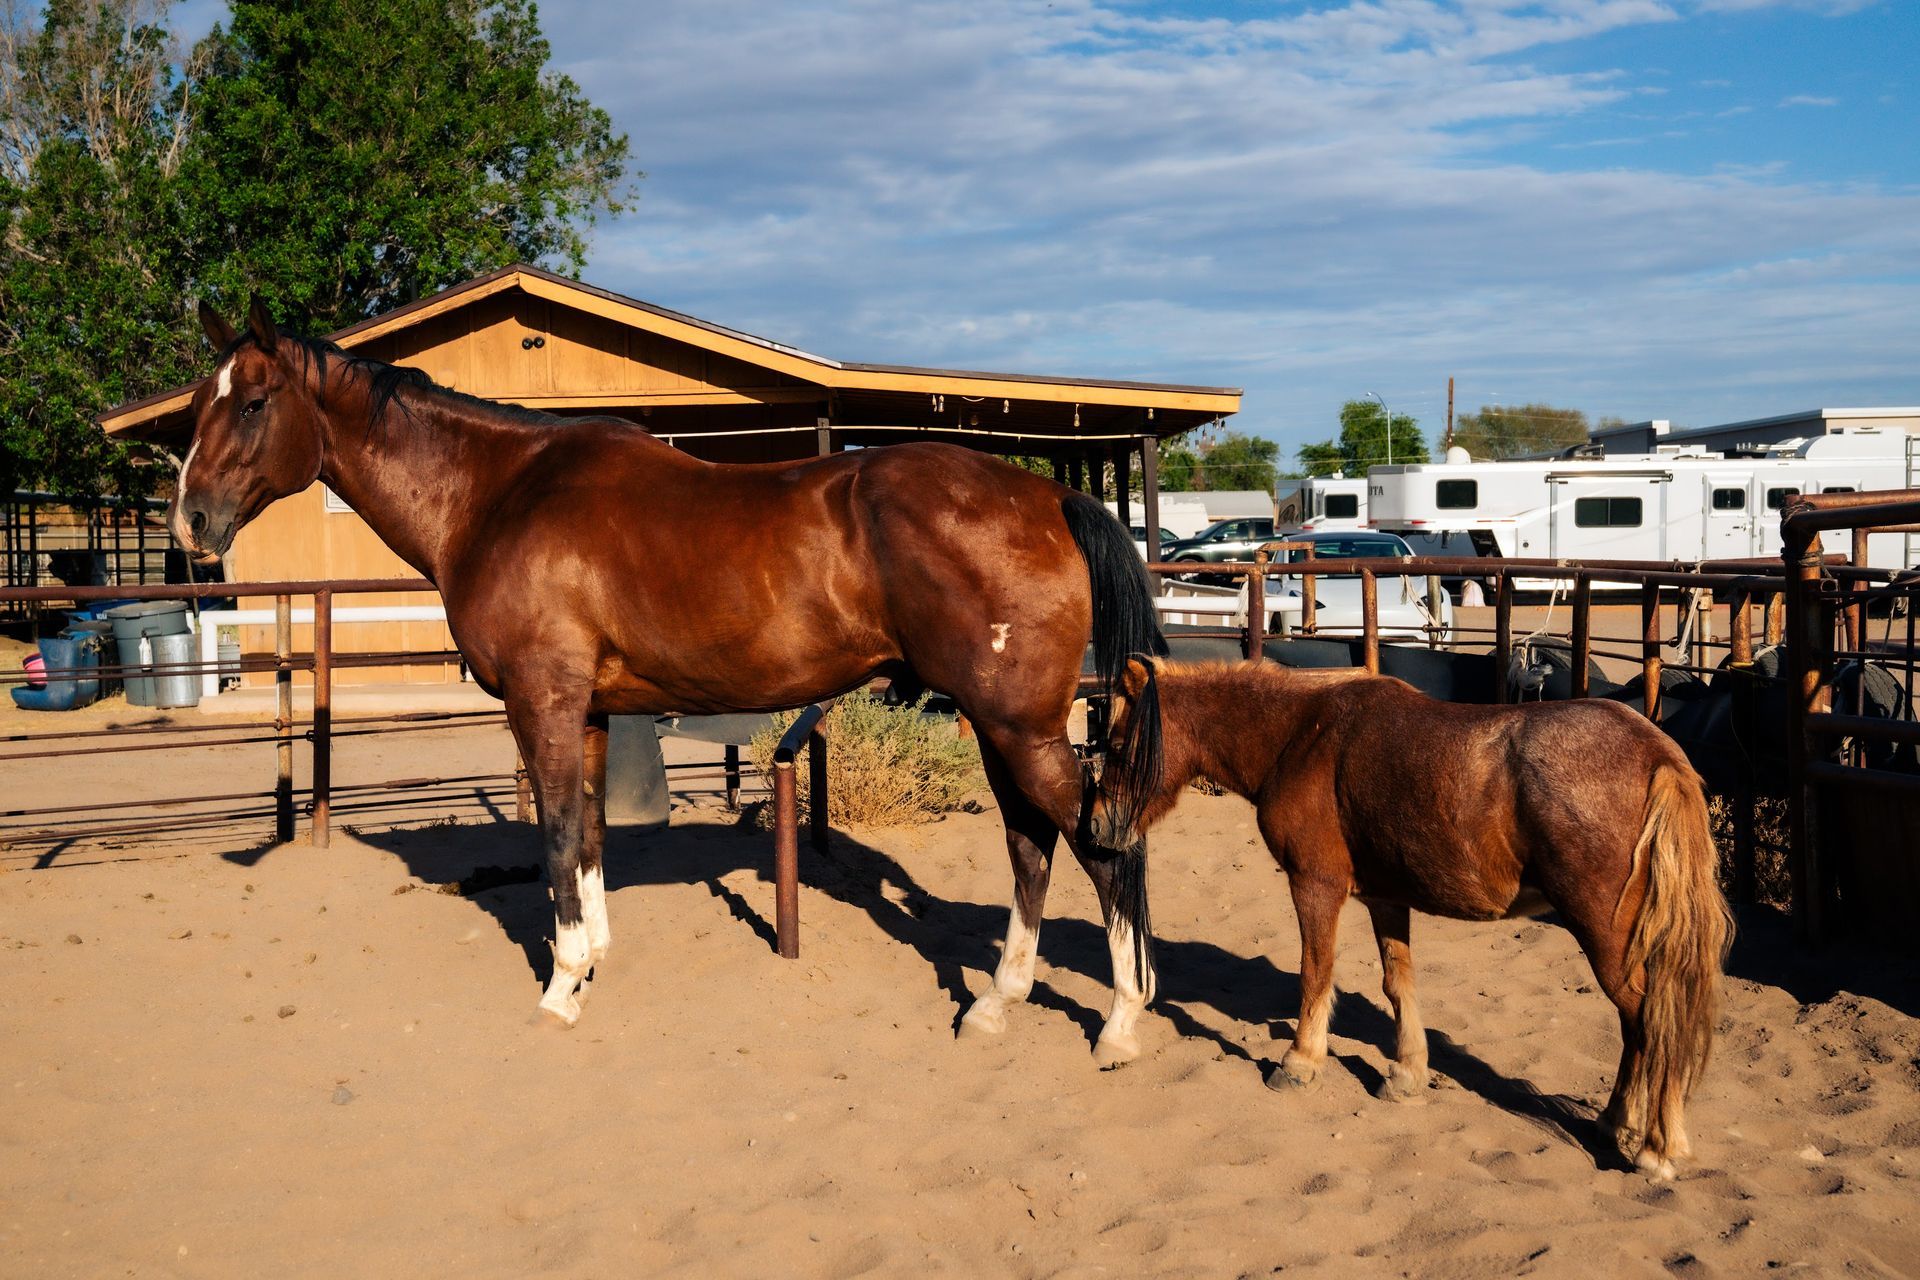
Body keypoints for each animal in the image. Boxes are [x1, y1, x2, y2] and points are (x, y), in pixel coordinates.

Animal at [170, 298, 1166, 1064]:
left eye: (252, 402)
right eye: (196, 408)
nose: (190, 521)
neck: (500, 494)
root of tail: (1048, 496)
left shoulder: (543, 702)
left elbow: (557, 834)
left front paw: (560, 988)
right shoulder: (590, 712)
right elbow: (590, 832)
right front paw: (592, 961)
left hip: (1016, 725)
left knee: (1097, 842)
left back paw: (1120, 1022)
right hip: (1004, 725)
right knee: (1033, 846)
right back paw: (997, 1002)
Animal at [1087, 657, 1732, 1178]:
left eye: (1117, 744)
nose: (1094, 825)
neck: (1300, 736)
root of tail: (1659, 754)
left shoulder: (1315, 885)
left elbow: (1315, 975)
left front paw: (1300, 1062)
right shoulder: (1385, 897)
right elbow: (1399, 984)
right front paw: (1406, 1073)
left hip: (1604, 933)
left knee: (1652, 1019)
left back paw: (1657, 1147)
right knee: (1639, 1025)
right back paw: (1618, 1121)